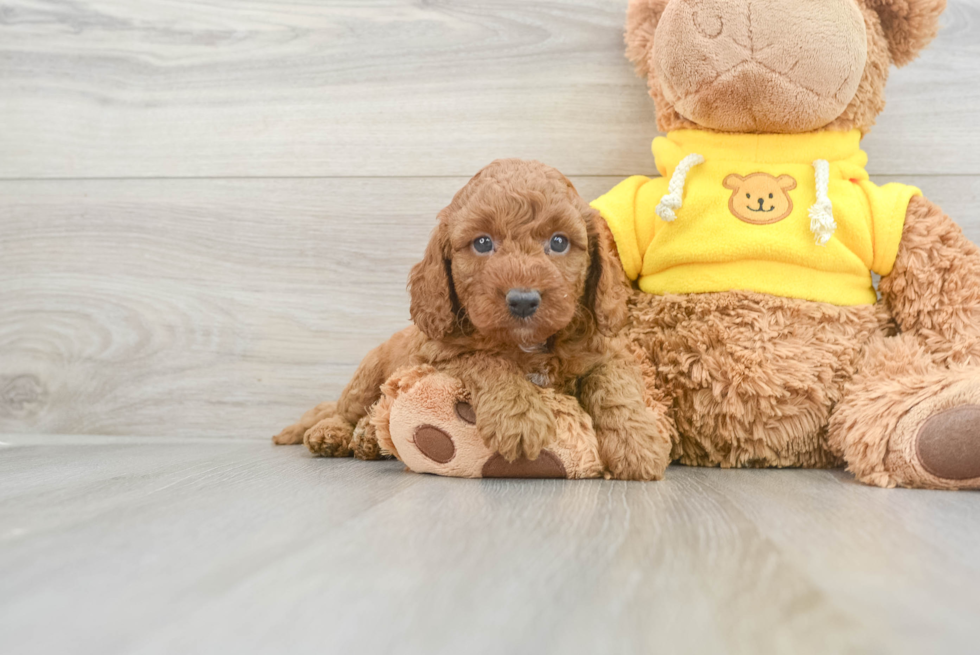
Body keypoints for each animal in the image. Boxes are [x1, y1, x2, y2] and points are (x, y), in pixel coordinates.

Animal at [276, 160, 672, 482]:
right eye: (482, 243)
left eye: (559, 242)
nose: (523, 300)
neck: (529, 342)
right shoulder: (440, 353)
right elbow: (489, 360)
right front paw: (520, 417)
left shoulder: (606, 353)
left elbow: (614, 387)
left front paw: (637, 444)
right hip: (366, 377)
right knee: (343, 409)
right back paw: (334, 434)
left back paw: (368, 439)